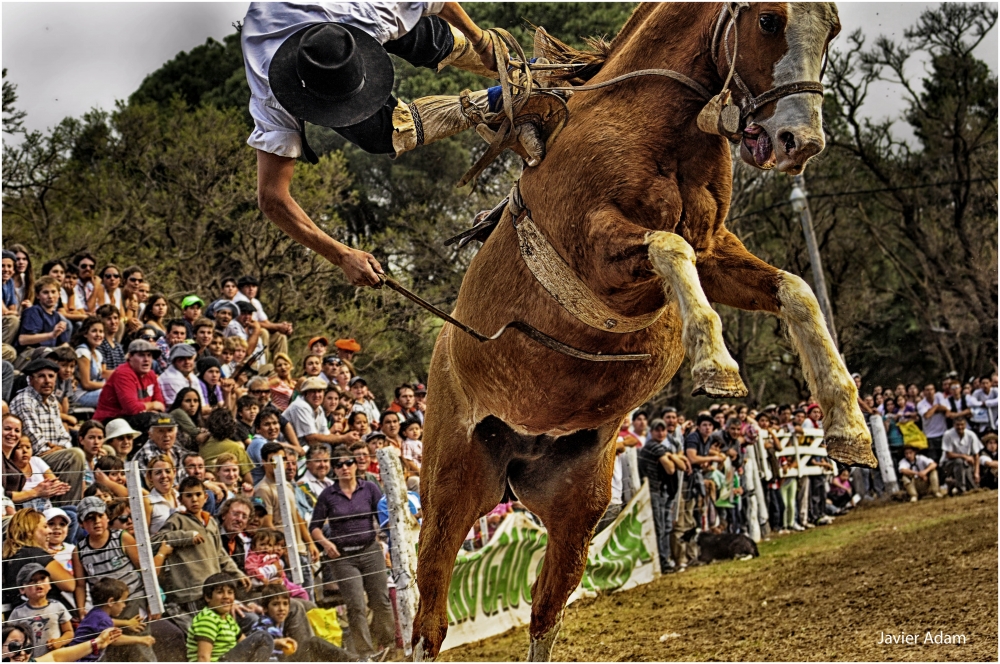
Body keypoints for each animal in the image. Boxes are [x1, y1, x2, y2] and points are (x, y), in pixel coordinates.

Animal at [410, 3, 872, 660]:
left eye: (831, 29)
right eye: (767, 20)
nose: (798, 142)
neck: (652, 123)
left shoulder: (717, 249)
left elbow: (796, 292)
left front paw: (848, 425)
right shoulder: (602, 246)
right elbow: (668, 245)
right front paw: (715, 363)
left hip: (577, 508)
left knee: (545, 610)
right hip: (452, 489)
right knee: (430, 617)